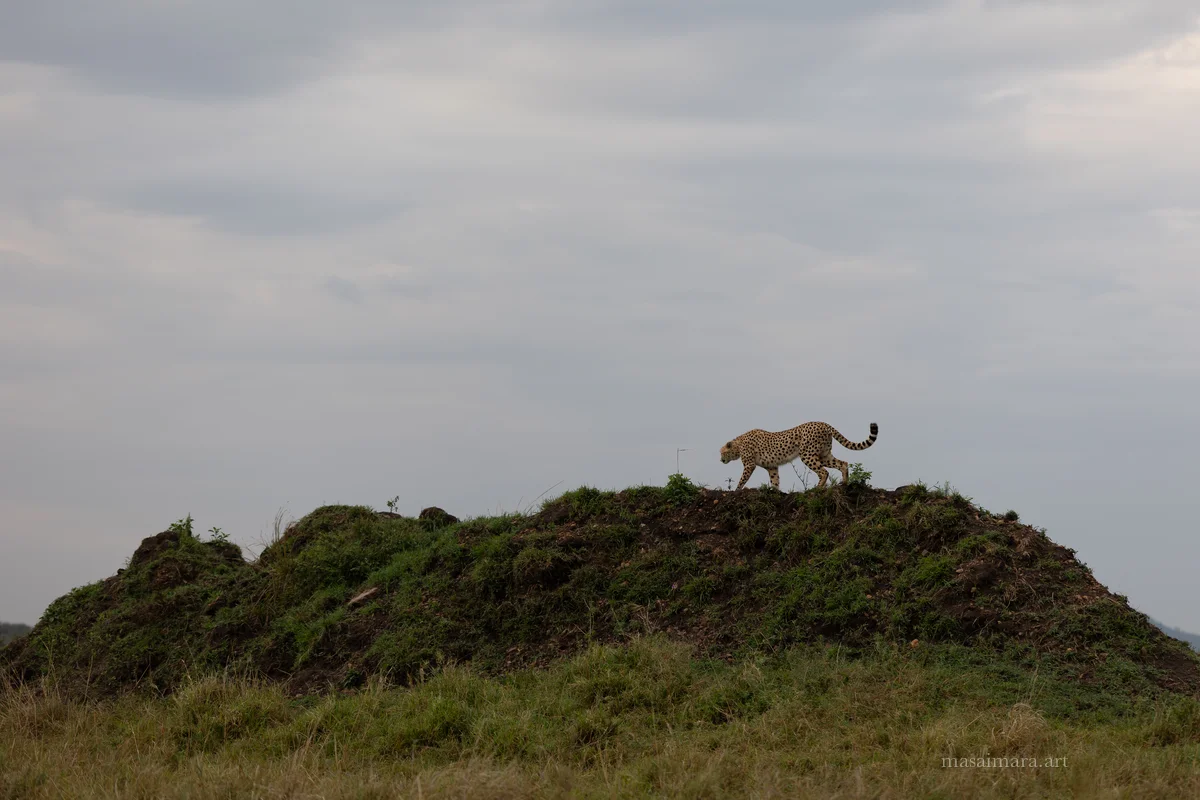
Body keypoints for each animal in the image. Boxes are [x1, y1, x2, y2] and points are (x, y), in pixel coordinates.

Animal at [720, 421, 878, 490]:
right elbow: (775, 480)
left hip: (807, 455)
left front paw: (736, 491)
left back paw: (817, 488)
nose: (721, 460)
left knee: (824, 472)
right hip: (824, 455)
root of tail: (823, 423)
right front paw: (775, 492)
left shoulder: (749, 465)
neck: (738, 444)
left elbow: (742, 479)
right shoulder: (772, 467)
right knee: (842, 463)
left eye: (722, 452)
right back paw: (844, 484)